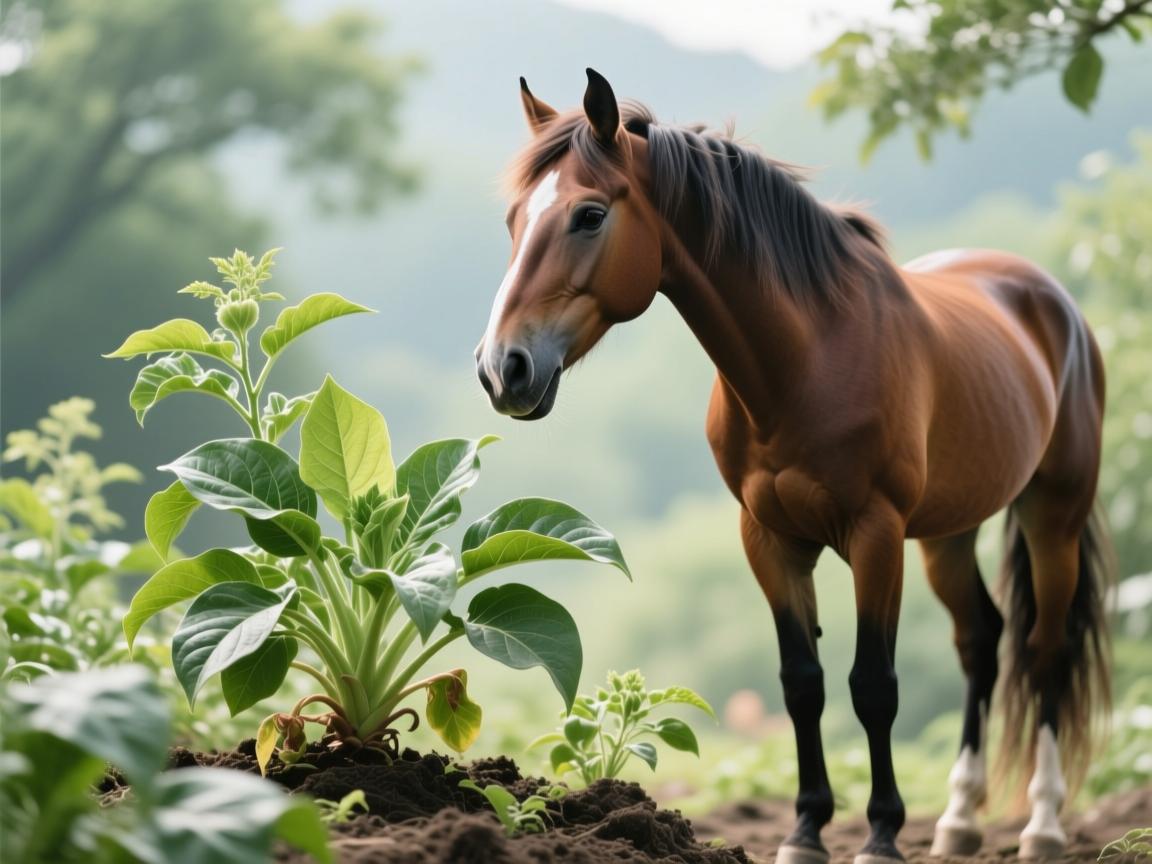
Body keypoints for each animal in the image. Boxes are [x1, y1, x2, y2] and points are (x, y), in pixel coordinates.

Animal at [474, 69, 1111, 864]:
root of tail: (1050, 299)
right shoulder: (770, 539)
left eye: (589, 216)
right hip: (948, 533)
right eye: (512, 219)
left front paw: (881, 834)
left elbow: (873, 686)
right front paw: (806, 829)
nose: (502, 369)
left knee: (1044, 647)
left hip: (1052, 518)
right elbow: (802, 683)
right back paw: (960, 819)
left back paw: (1043, 824)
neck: (809, 359)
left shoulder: (875, 536)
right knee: (981, 644)